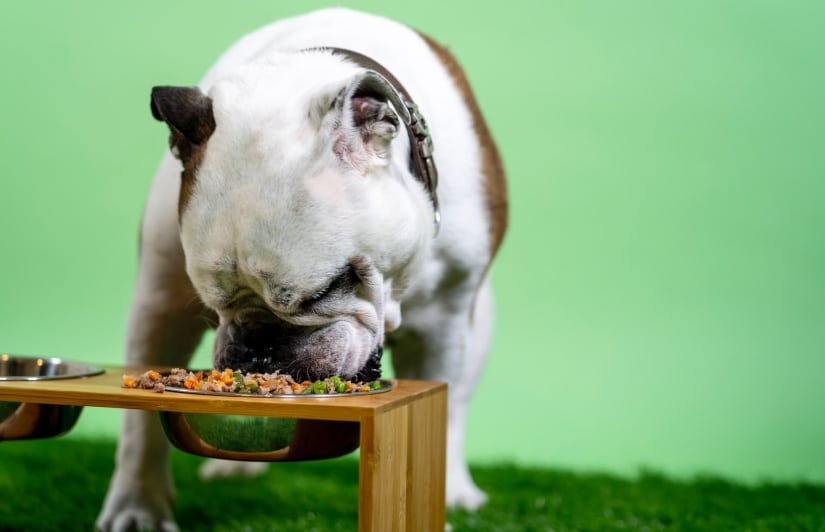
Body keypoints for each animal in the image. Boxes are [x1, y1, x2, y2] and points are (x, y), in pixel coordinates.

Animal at [98, 9, 508, 532]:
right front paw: (138, 507)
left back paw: (458, 490)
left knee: (457, 408)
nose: (260, 345)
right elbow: (138, 425)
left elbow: (441, 410)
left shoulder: (442, 324)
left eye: (325, 290)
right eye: (213, 304)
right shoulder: (160, 301)